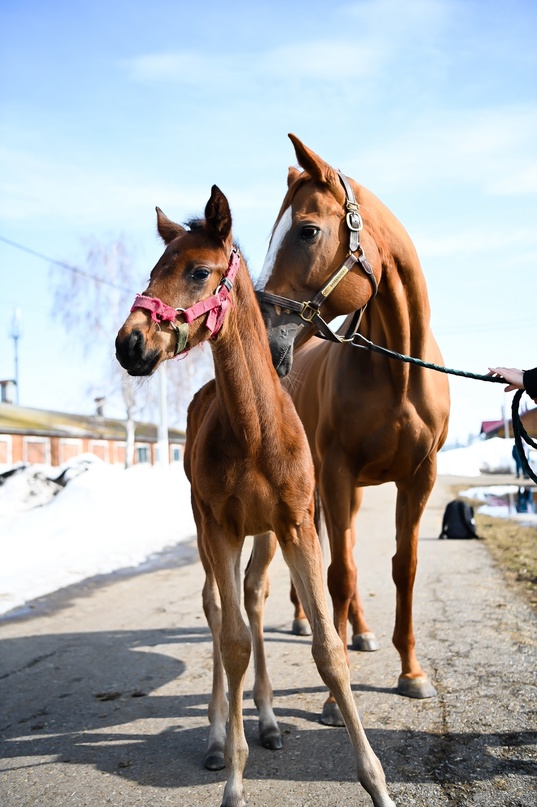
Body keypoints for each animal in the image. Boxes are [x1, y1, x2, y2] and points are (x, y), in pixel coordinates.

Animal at [114, 185, 394, 807]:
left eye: (199, 271)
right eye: (154, 270)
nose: (129, 344)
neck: (254, 431)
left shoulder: (296, 525)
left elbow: (327, 648)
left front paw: (376, 782)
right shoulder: (220, 526)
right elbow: (234, 640)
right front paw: (235, 781)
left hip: (263, 535)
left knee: (254, 595)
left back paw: (266, 722)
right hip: (205, 527)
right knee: (219, 609)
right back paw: (220, 734)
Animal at [258, 136, 450, 728]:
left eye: (306, 230)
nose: (265, 336)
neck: (398, 374)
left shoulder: (418, 478)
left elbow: (403, 567)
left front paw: (411, 673)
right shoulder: (337, 474)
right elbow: (336, 574)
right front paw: (329, 699)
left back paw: (362, 632)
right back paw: (305, 621)